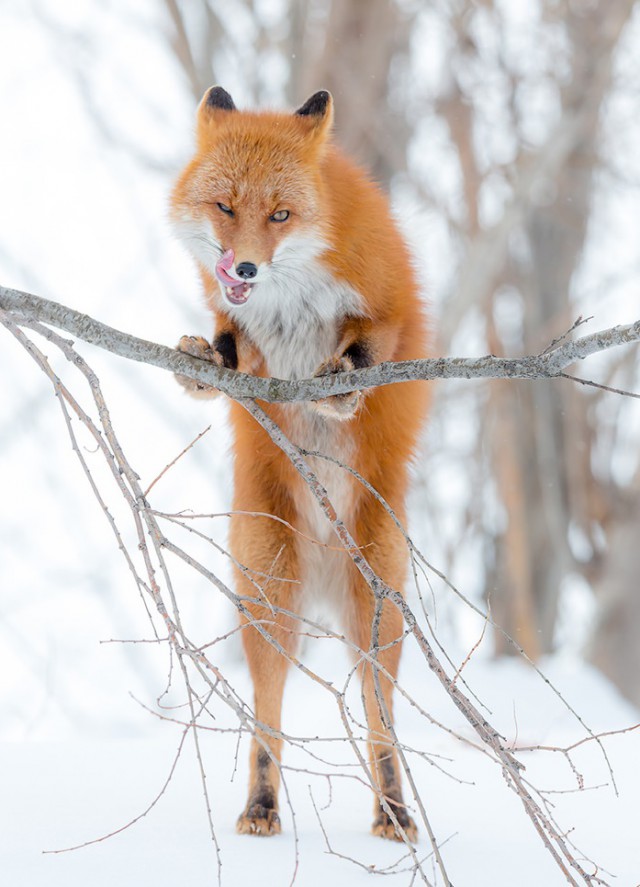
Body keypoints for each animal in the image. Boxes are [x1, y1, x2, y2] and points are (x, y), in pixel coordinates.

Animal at [172, 86, 428, 844]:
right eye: (225, 206)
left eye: (281, 215)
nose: (244, 269)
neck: (291, 298)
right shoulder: (245, 335)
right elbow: (231, 352)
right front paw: (204, 362)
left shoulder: (390, 301)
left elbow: (371, 346)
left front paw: (341, 387)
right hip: (267, 595)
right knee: (268, 715)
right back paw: (261, 805)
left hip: (378, 612)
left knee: (379, 720)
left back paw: (393, 810)